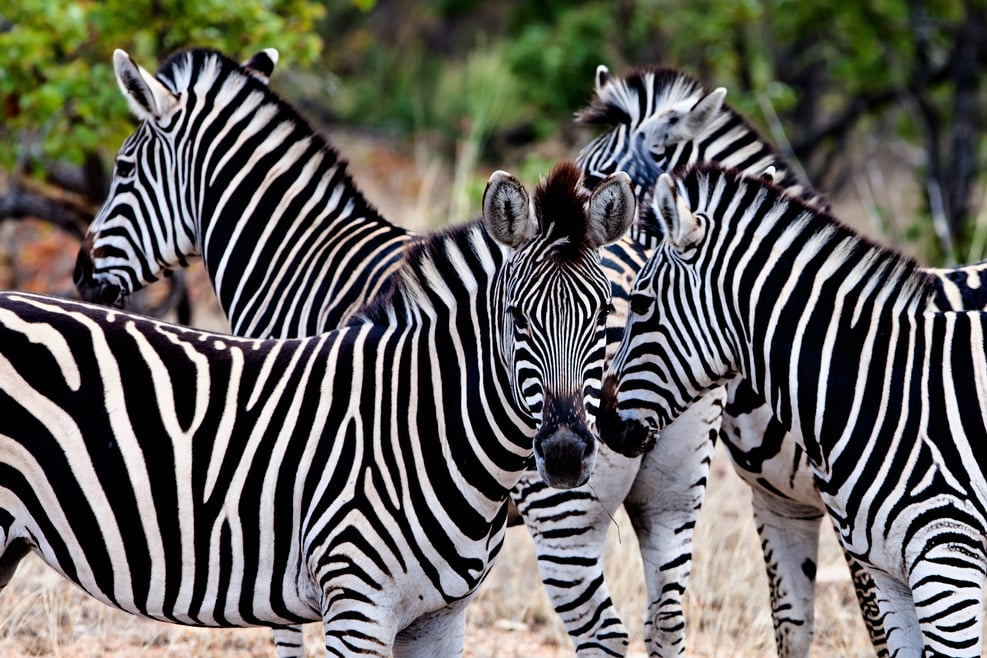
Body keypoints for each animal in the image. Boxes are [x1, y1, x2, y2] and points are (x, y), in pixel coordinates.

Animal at [0, 160, 635, 657]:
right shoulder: (356, 607)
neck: (418, 422)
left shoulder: (440, 619)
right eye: (515, 316)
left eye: (605, 313)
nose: (564, 455)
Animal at [74, 46, 726, 656]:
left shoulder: (278, 490)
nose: (80, 276)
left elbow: (283, 632)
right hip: (674, 492)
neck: (299, 260)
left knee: (602, 631)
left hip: (564, 504)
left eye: (123, 168)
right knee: (666, 619)